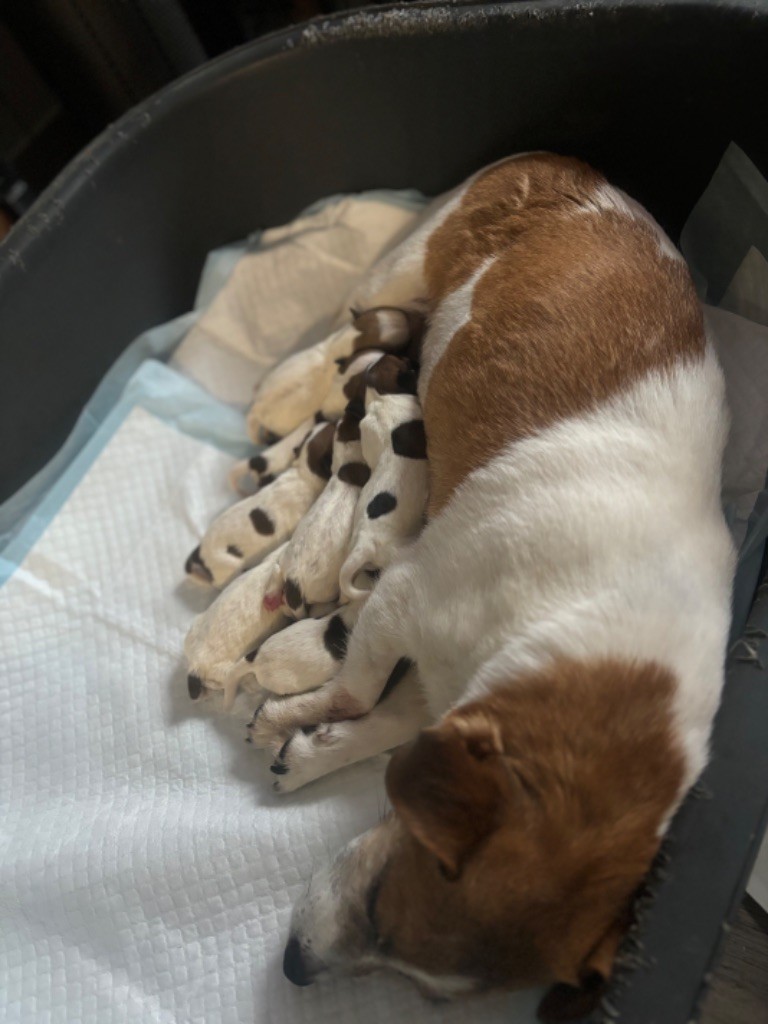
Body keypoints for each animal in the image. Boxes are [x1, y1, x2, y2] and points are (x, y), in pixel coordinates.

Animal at [243, 151, 737, 1015]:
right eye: (380, 903)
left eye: (436, 999)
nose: (296, 968)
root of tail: (566, 167)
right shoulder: (401, 602)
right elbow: (357, 689)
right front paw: (300, 716)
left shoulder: (454, 690)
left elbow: (387, 722)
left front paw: (312, 747)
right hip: (405, 266)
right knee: (346, 323)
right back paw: (284, 382)